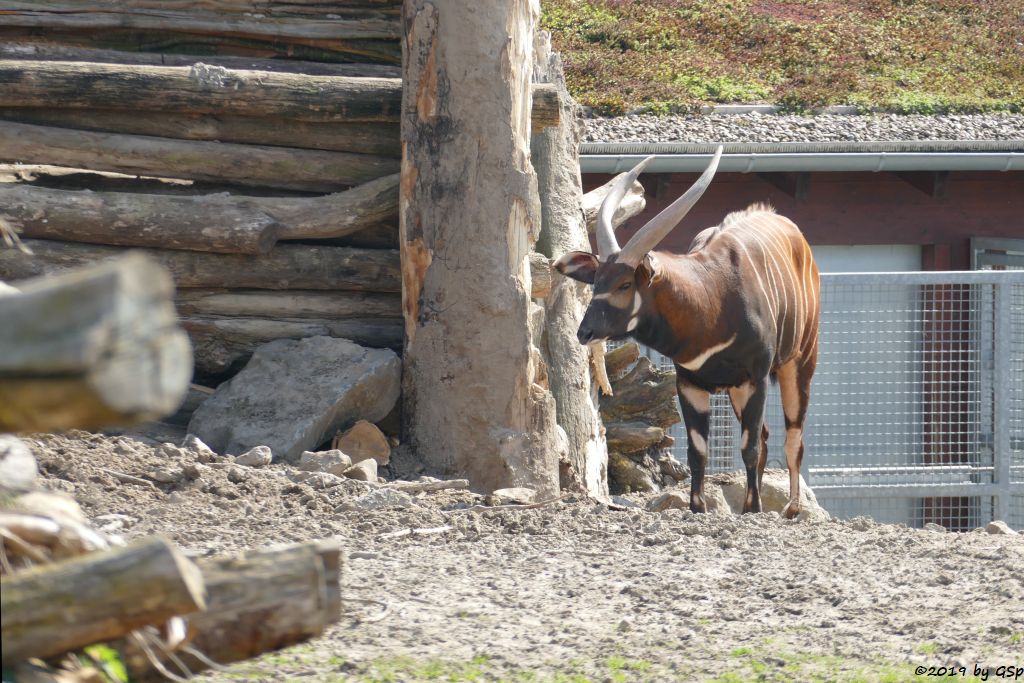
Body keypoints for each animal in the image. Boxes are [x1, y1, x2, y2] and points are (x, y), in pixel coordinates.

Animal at [557, 149, 819, 518]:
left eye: (625, 284)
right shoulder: (691, 384)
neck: (711, 297)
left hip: (798, 363)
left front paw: (752, 509)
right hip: (737, 392)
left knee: (792, 436)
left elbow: (748, 445)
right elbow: (698, 451)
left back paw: (792, 509)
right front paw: (698, 507)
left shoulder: (755, 379)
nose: (585, 331)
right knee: (768, 435)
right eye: (596, 282)